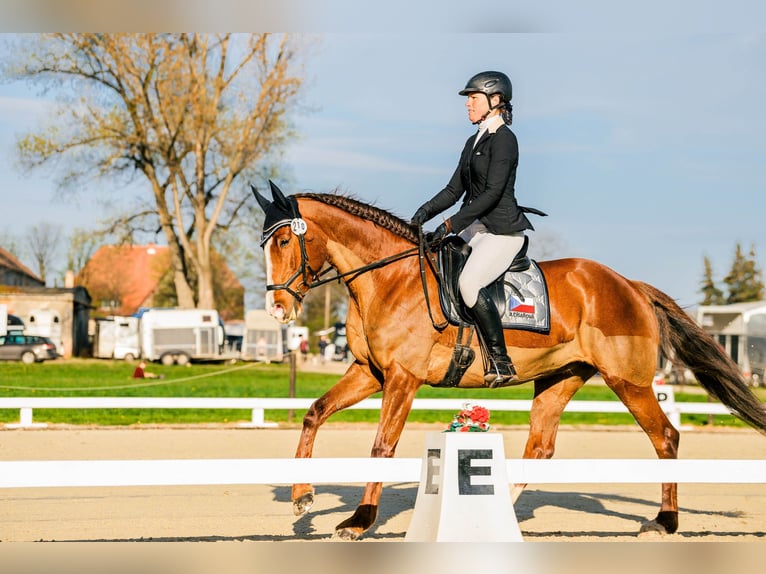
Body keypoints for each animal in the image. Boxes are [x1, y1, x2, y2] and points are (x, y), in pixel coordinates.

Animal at [252, 181, 766, 541]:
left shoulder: (402, 378)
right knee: (540, 448)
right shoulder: (369, 373)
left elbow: (382, 446)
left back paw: (665, 521)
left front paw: (358, 520)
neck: (388, 279)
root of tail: (630, 285)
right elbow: (314, 413)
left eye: (284, 243)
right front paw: (301, 498)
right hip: (561, 378)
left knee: (666, 437)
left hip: (629, 381)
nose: (277, 309)